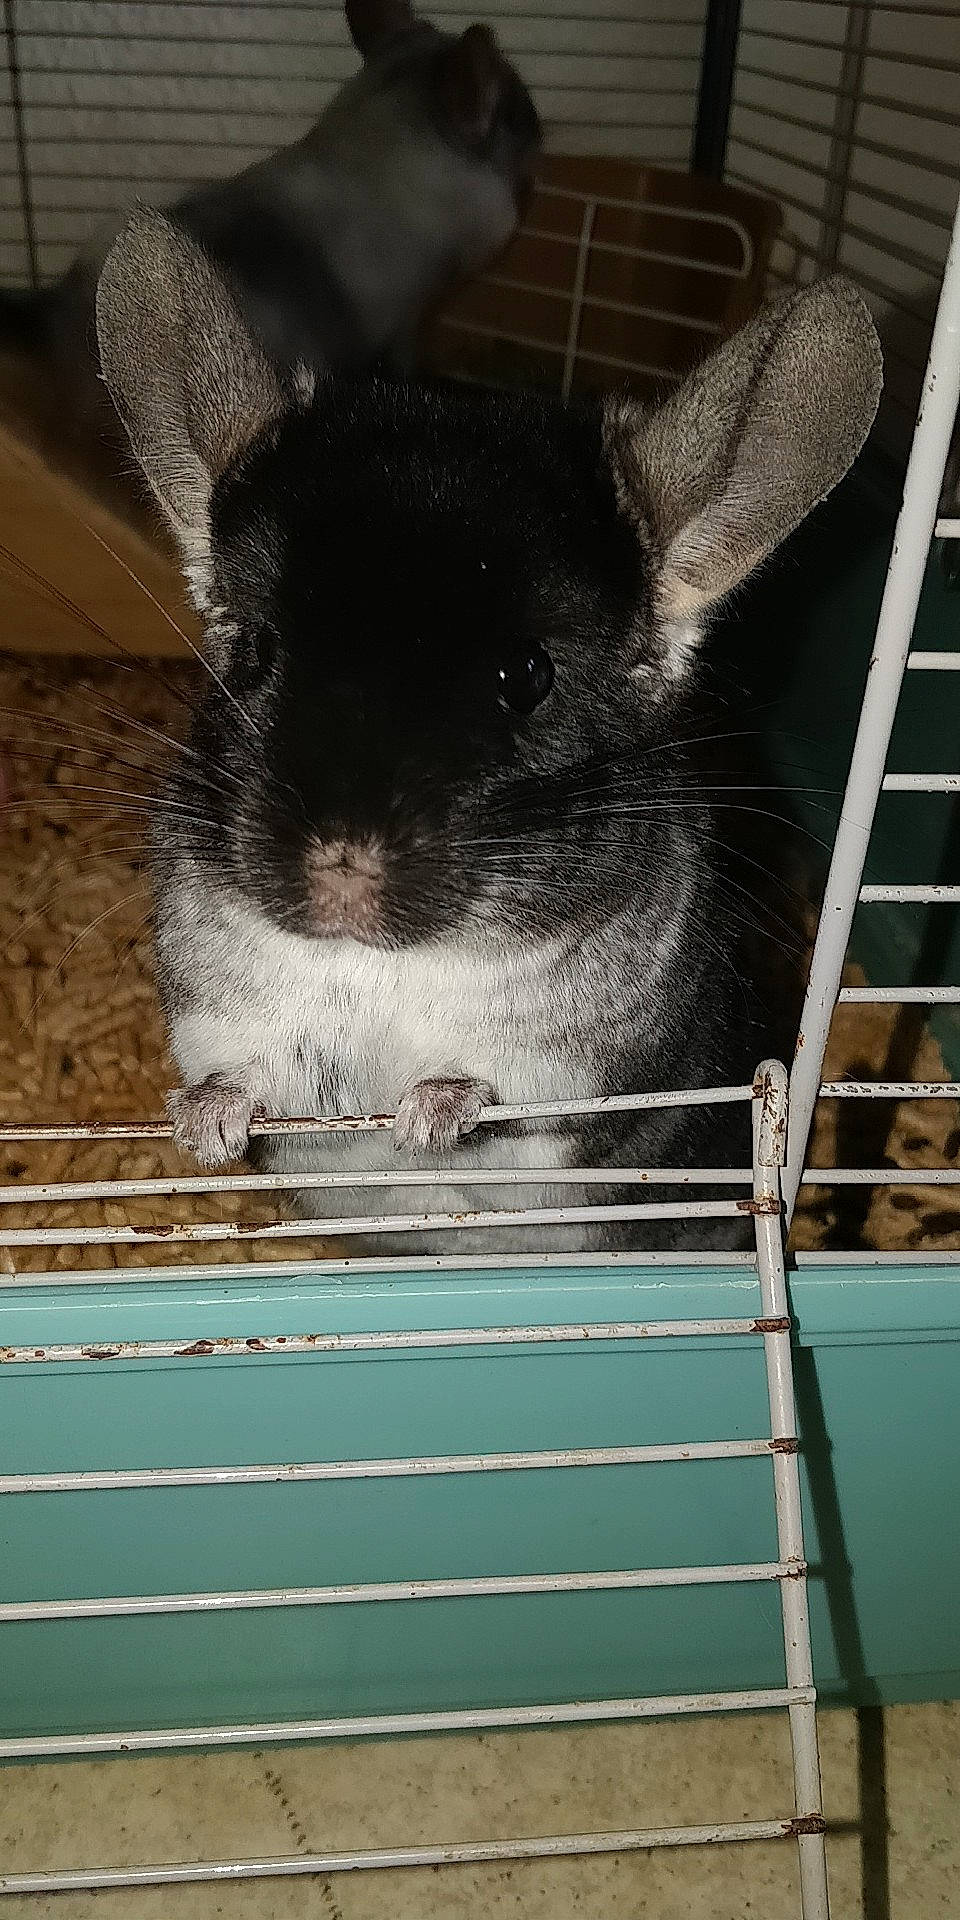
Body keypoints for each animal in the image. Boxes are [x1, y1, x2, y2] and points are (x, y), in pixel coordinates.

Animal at [94, 207, 882, 1254]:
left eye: (528, 676)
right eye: (256, 651)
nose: (340, 865)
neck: (384, 966)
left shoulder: (578, 1077)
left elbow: (502, 1097)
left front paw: (432, 1114)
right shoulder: (227, 1019)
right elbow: (247, 1079)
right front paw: (206, 1122)